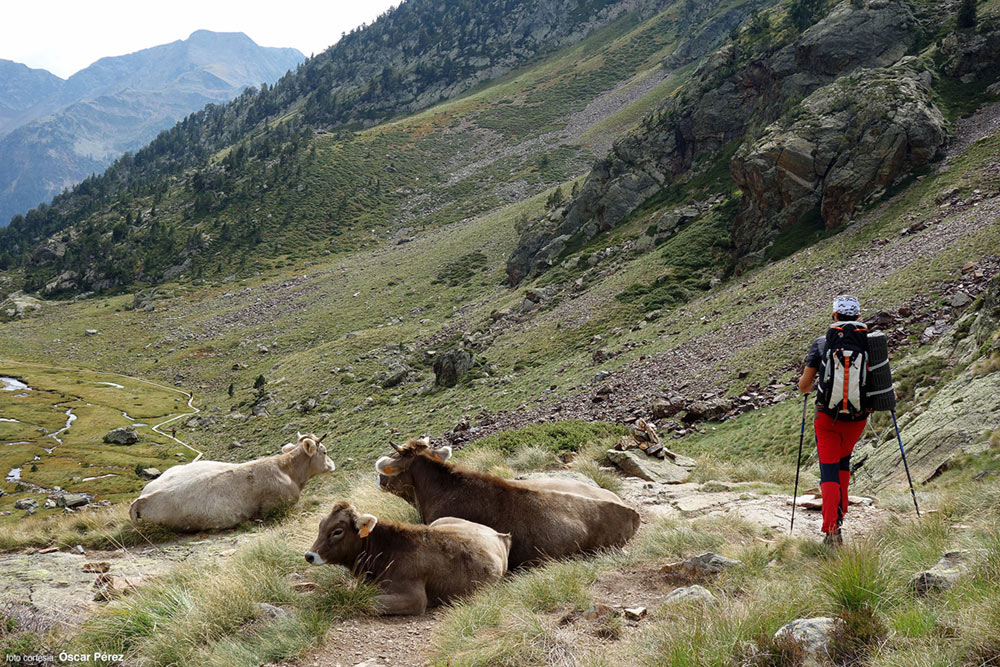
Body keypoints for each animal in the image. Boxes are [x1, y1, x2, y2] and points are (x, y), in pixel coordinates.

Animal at [302, 500, 508, 616]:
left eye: (337, 531)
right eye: (320, 525)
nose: (309, 555)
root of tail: (497, 533)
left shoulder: (415, 598)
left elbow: (369, 602)